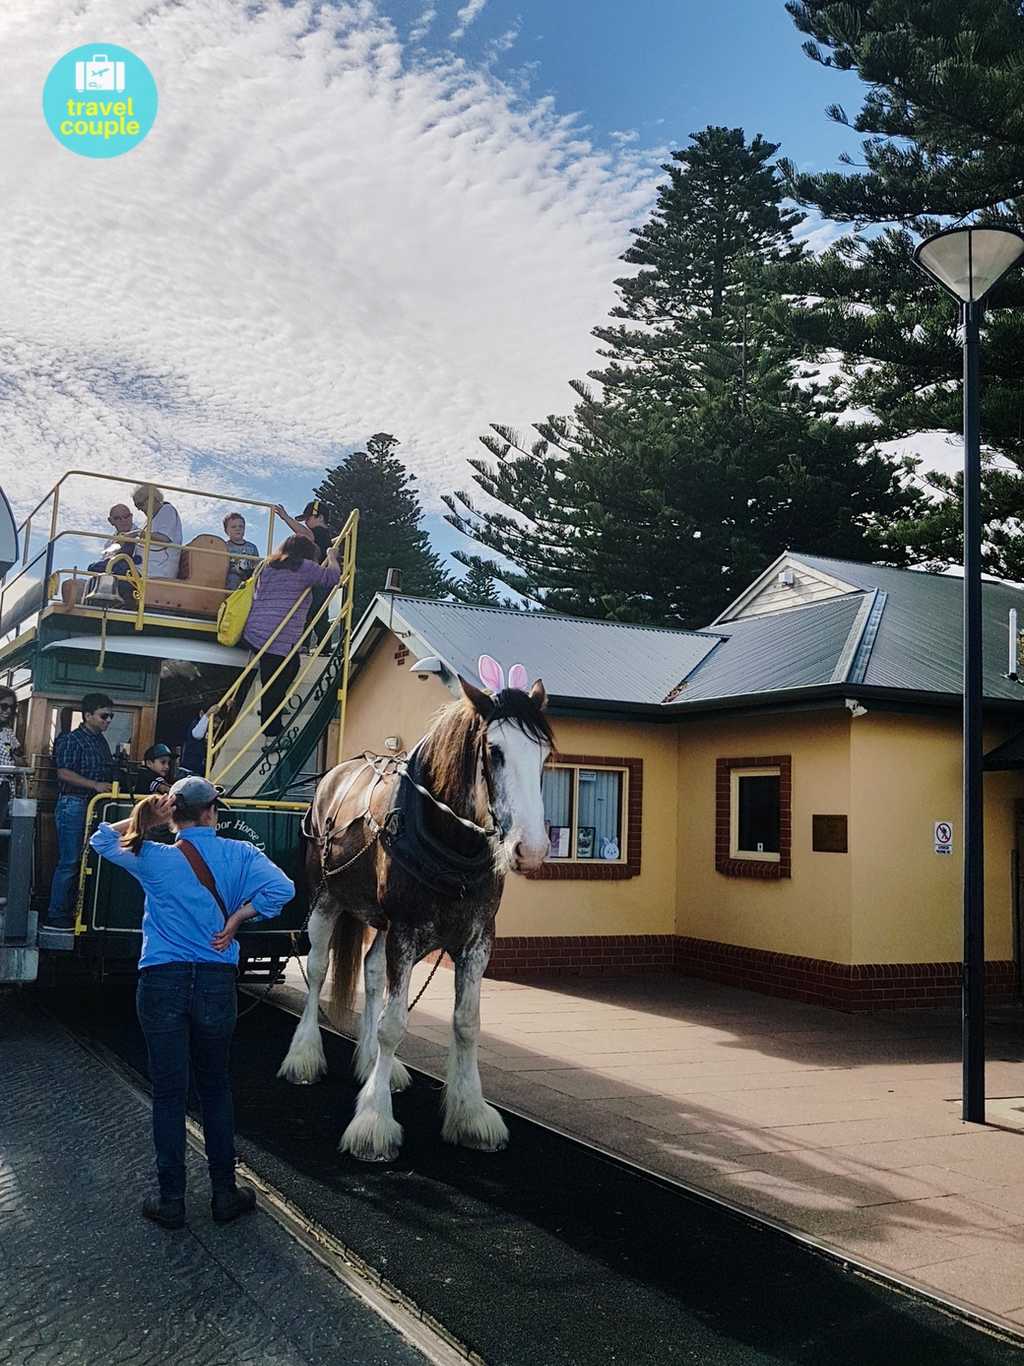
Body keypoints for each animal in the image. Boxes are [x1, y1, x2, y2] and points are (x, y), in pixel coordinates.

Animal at [277, 661, 557, 1163]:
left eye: (544, 756)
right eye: (495, 752)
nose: (531, 849)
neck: (451, 841)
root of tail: (334, 773)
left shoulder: (477, 939)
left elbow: (466, 1023)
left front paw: (470, 1114)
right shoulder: (406, 933)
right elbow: (394, 1025)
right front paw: (373, 1122)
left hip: (383, 924)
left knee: (370, 973)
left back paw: (373, 1065)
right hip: (326, 900)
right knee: (319, 968)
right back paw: (304, 1056)